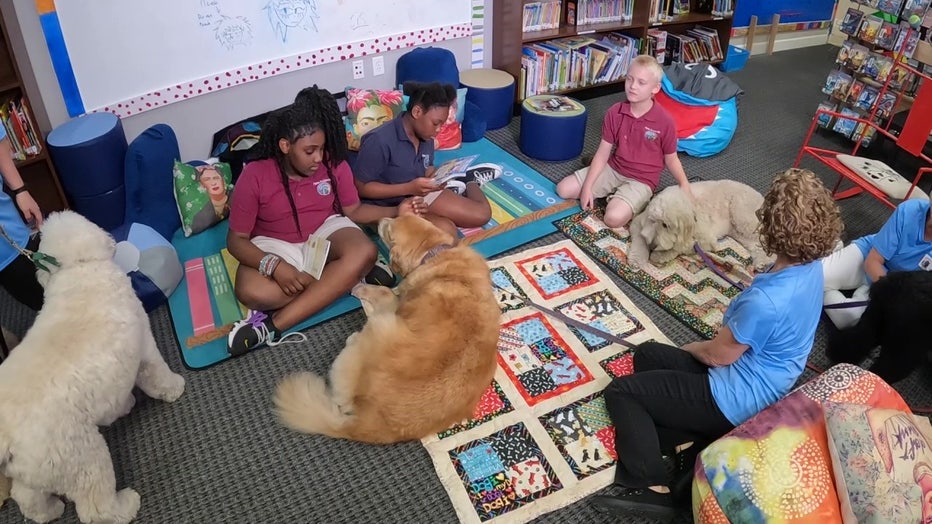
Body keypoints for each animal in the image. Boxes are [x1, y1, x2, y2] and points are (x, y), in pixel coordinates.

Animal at [0, 210, 185, 524]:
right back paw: (125, 505)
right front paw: (175, 388)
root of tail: (7, 434)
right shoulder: (143, 343)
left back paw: (50, 511)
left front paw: (126, 405)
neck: (77, 269)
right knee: (95, 509)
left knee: (26, 497)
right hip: (82, 459)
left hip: (34, 469)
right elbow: (155, 373)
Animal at [274, 215, 498, 444]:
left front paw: (364, 288)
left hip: (380, 324)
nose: (382, 218)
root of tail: (367, 425)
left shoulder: (395, 305)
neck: (434, 254)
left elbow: (385, 291)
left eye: (389, 230)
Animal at [628, 180, 772, 270]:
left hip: (743, 217)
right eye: (652, 221)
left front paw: (660, 255)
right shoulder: (638, 223)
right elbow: (640, 239)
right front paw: (637, 259)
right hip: (740, 231)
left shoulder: (706, 240)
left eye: (665, 225)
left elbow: (679, 248)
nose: (652, 245)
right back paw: (762, 263)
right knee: (757, 245)